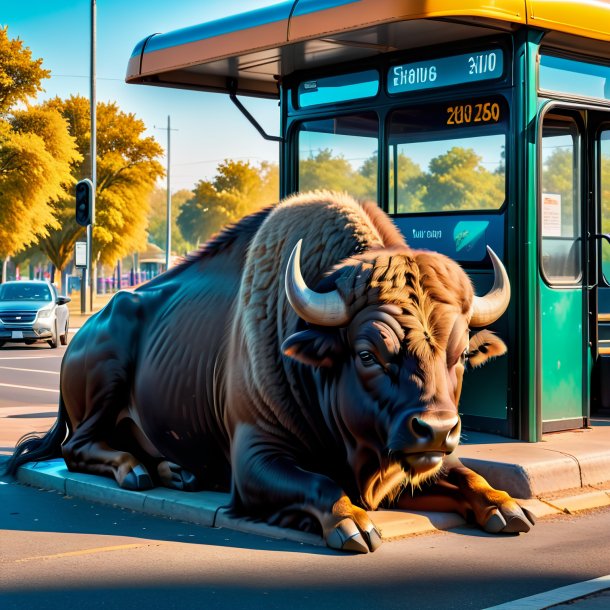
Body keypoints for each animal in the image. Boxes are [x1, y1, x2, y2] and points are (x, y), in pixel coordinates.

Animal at [7, 190, 536, 552]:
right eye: (367, 353)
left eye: (461, 355)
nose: (438, 429)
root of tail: (83, 330)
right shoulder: (255, 461)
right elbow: (322, 485)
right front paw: (353, 526)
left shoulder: (424, 461)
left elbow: (469, 477)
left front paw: (508, 507)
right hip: (106, 380)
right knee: (78, 446)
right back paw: (136, 470)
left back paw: (178, 471)